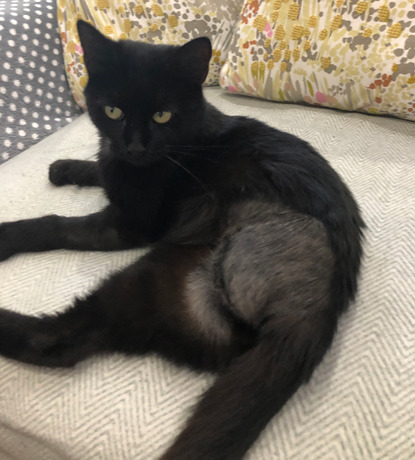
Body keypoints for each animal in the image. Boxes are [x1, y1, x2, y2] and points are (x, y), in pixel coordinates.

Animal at [0, 20, 364, 460]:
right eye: (113, 110)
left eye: (162, 115)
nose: (135, 146)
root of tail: (314, 316)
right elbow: (101, 167)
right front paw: (66, 168)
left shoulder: (129, 226)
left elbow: (55, 224)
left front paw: (8, 234)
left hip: (155, 273)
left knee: (61, 341)